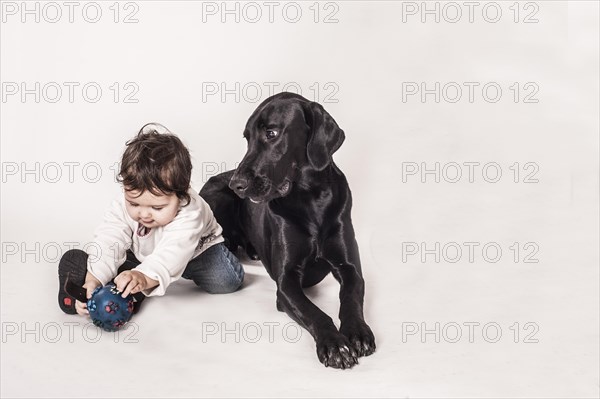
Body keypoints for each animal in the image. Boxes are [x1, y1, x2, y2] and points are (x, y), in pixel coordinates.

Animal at [200, 93, 376, 368]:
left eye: (271, 133)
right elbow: (315, 313)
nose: (237, 185)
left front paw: (357, 332)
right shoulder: (285, 283)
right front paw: (334, 345)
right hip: (219, 199)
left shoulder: (350, 268)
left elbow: (351, 297)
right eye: (247, 138)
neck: (311, 197)